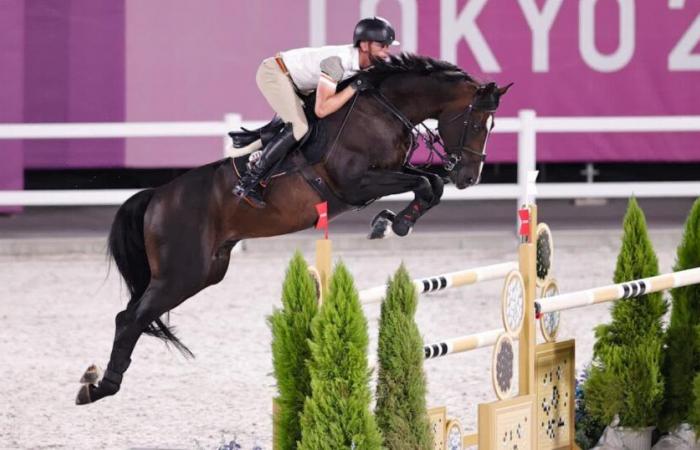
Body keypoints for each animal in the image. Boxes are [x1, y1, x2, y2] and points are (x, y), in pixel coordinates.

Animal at [76, 52, 512, 404]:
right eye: (477, 122)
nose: (469, 177)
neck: (387, 109)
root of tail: (157, 196)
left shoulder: (389, 173)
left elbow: (430, 183)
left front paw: (390, 222)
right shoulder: (356, 182)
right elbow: (425, 182)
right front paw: (395, 222)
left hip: (204, 272)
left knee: (134, 314)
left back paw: (98, 381)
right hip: (181, 274)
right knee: (129, 319)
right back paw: (99, 389)